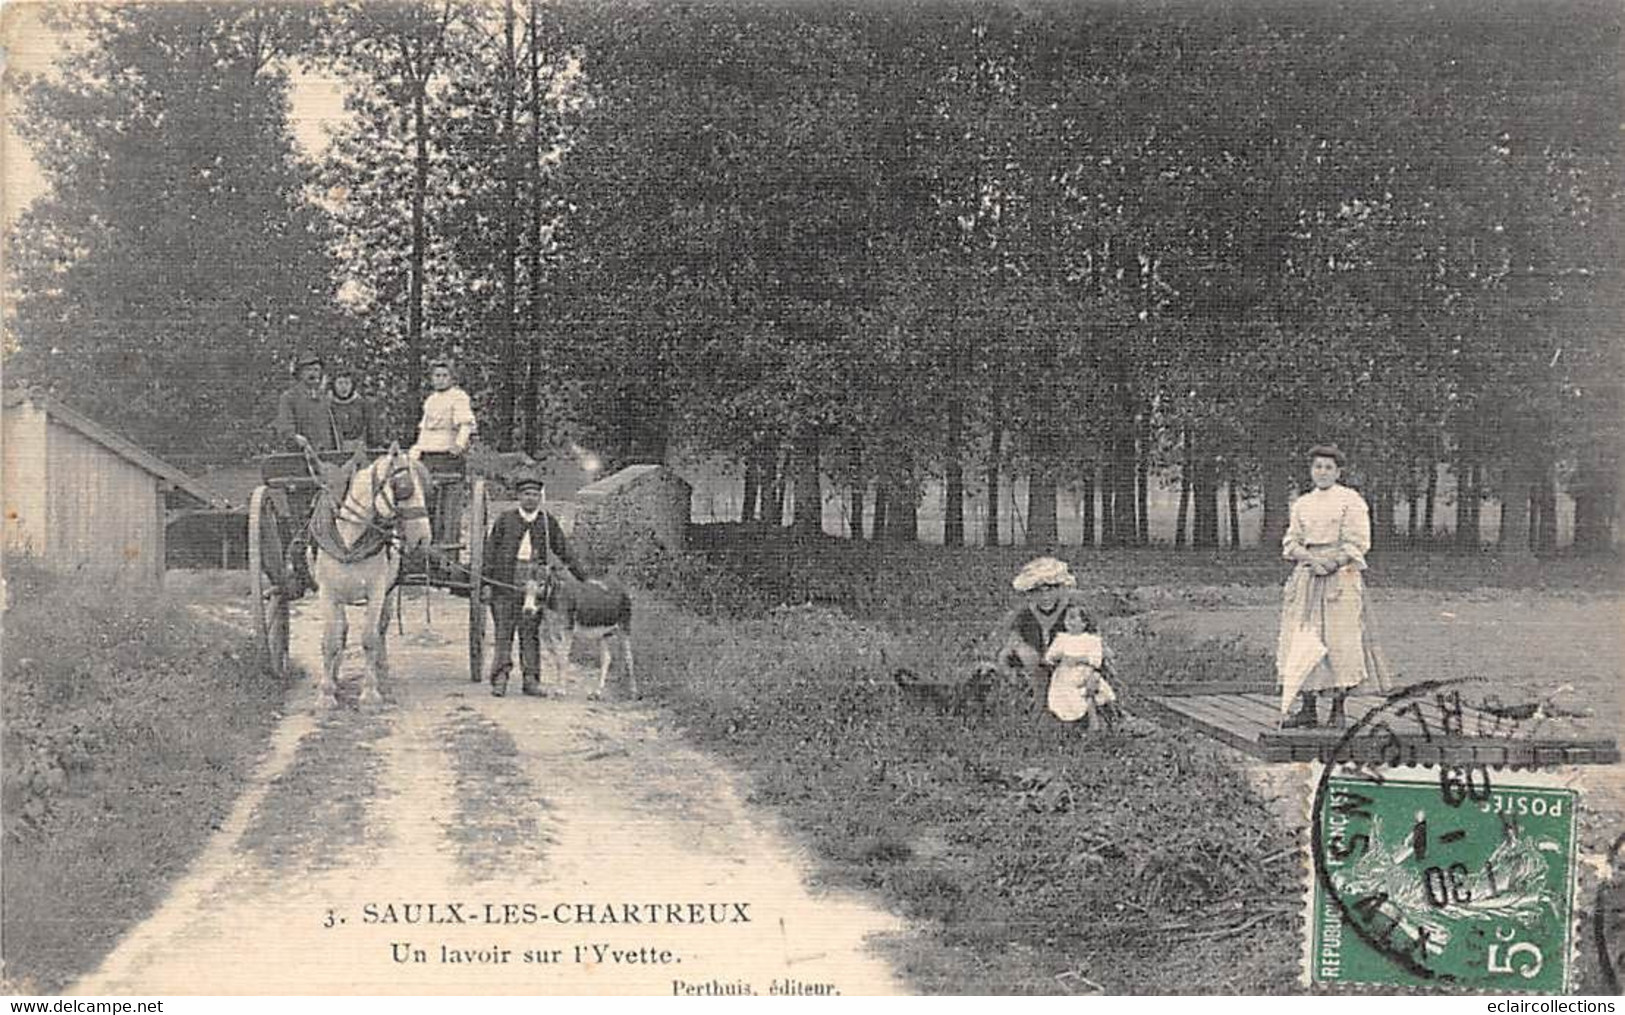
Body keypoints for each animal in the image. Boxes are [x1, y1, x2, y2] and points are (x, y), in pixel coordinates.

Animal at [307, 441, 435, 704]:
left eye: (427, 489)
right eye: (403, 488)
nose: (423, 539)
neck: (349, 541)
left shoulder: (376, 592)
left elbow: (369, 638)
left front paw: (370, 693)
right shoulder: (327, 593)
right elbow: (331, 640)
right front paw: (326, 693)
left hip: (389, 591)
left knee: (381, 630)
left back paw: (381, 674)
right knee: (342, 630)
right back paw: (336, 674)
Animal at [520, 561, 633, 695]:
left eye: (541, 583)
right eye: (524, 584)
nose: (528, 610)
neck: (555, 600)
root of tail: (624, 590)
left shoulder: (567, 630)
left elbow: (563, 659)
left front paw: (561, 690)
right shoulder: (553, 631)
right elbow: (558, 659)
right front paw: (558, 688)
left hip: (624, 627)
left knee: (629, 658)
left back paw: (633, 692)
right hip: (604, 634)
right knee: (607, 659)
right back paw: (597, 692)